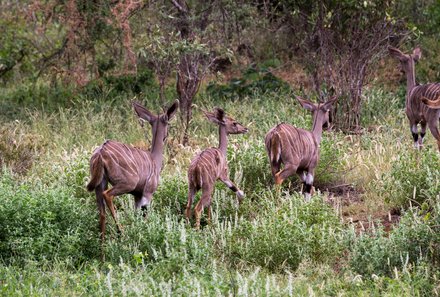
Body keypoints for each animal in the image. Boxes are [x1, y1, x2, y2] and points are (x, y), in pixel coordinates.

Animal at [86, 100, 179, 240]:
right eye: (168, 122)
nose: (167, 135)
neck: (154, 159)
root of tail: (101, 152)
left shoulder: (137, 195)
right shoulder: (147, 193)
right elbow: (144, 215)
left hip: (100, 184)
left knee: (102, 214)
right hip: (128, 183)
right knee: (107, 195)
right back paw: (121, 231)